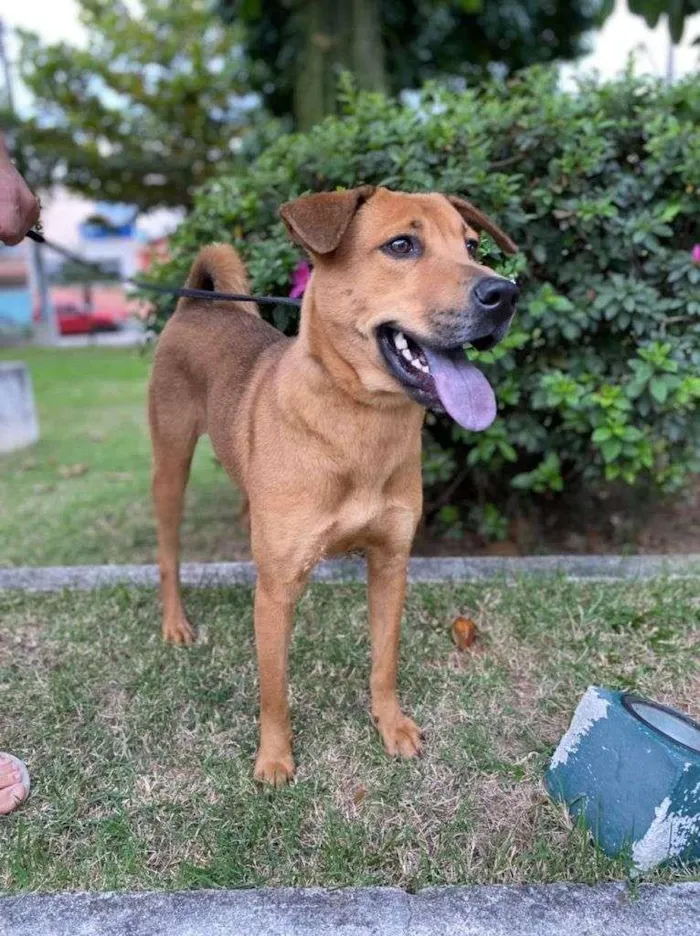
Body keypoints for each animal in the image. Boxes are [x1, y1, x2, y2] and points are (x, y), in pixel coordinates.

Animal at [148, 186, 516, 788]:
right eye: (401, 245)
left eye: (471, 245)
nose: (505, 293)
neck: (359, 421)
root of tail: (197, 304)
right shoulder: (276, 590)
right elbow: (274, 688)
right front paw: (275, 758)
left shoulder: (390, 562)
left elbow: (384, 661)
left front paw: (390, 725)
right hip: (170, 466)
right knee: (169, 552)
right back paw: (176, 623)